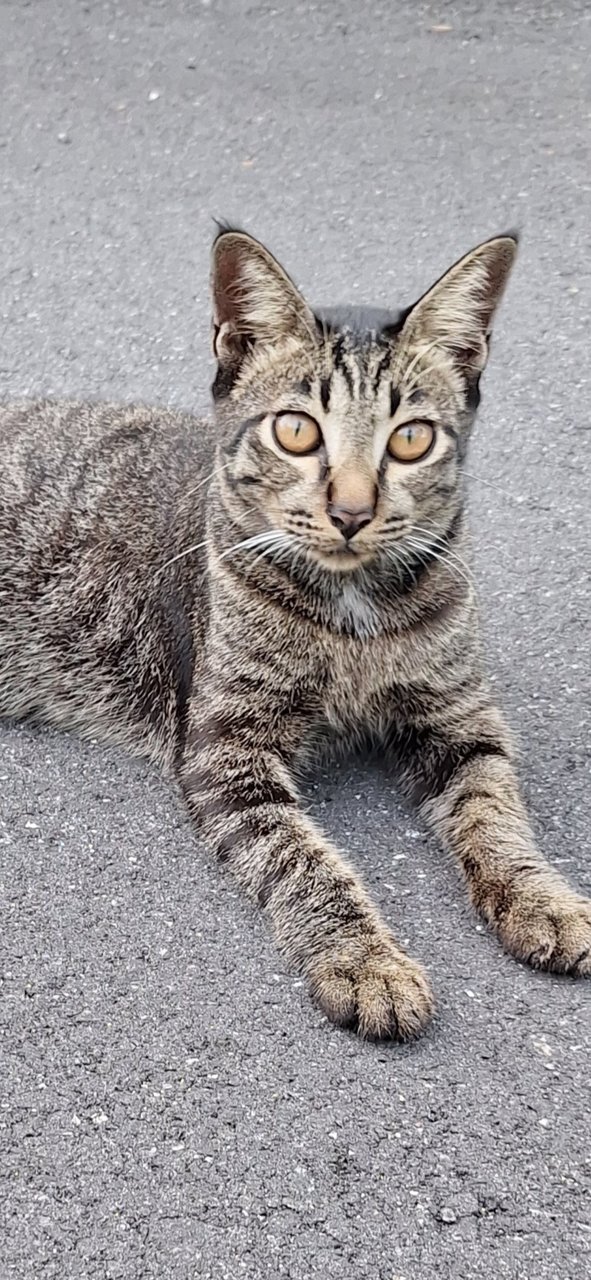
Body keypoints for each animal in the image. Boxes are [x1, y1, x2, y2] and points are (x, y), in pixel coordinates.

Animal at [0, 227, 588, 1039]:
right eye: (296, 430)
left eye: (410, 440)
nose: (350, 511)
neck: (356, 614)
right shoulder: (226, 749)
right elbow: (303, 860)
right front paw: (365, 959)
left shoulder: (461, 717)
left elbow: (496, 812)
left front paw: (542, 898)